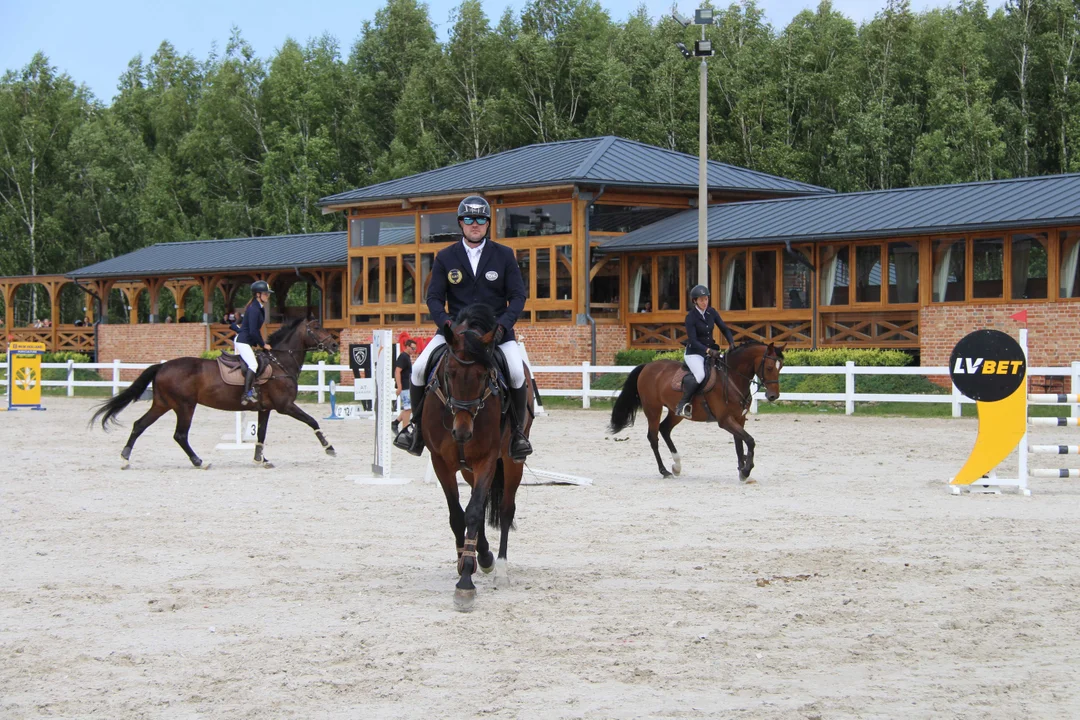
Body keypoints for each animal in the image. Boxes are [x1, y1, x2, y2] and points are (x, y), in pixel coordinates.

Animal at [91, 317, 336, 470]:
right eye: (317, 328)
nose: (334, 345)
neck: (280, 362)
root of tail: (162, 366)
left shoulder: (265, 409)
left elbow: (261, 434)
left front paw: (261, 459)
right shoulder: (285, 406)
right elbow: (312, 421)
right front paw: (329, 448)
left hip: (162, 404)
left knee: (139, 425)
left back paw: (125, 459)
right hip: (184, 406)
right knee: (180, 435)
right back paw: (199, 461)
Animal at [425, 304, 535, 613]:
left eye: (485, 375)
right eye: (449, 372)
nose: (462, 433)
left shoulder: (486, 459)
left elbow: (473, 513)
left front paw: (465, 583)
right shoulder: (441, 462)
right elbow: (457, 514)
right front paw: (468, 558)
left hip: (510, 462)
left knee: (506, 509)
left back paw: (500, 569)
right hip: (467, 469)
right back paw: (482, 555)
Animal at [609, 343, 786, 481]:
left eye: (781, 367)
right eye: (769, 367)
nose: (773, 396)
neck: (731, 378)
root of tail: (647, 366)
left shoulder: (739, 419)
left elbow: (739, 444)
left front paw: (742, 471)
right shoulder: (725, 420)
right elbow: (749, 440)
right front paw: (747, 469)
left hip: (675, 411)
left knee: (664, 429)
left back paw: (677, 466)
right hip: (653, 409)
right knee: (653, 437)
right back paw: (664, 470)